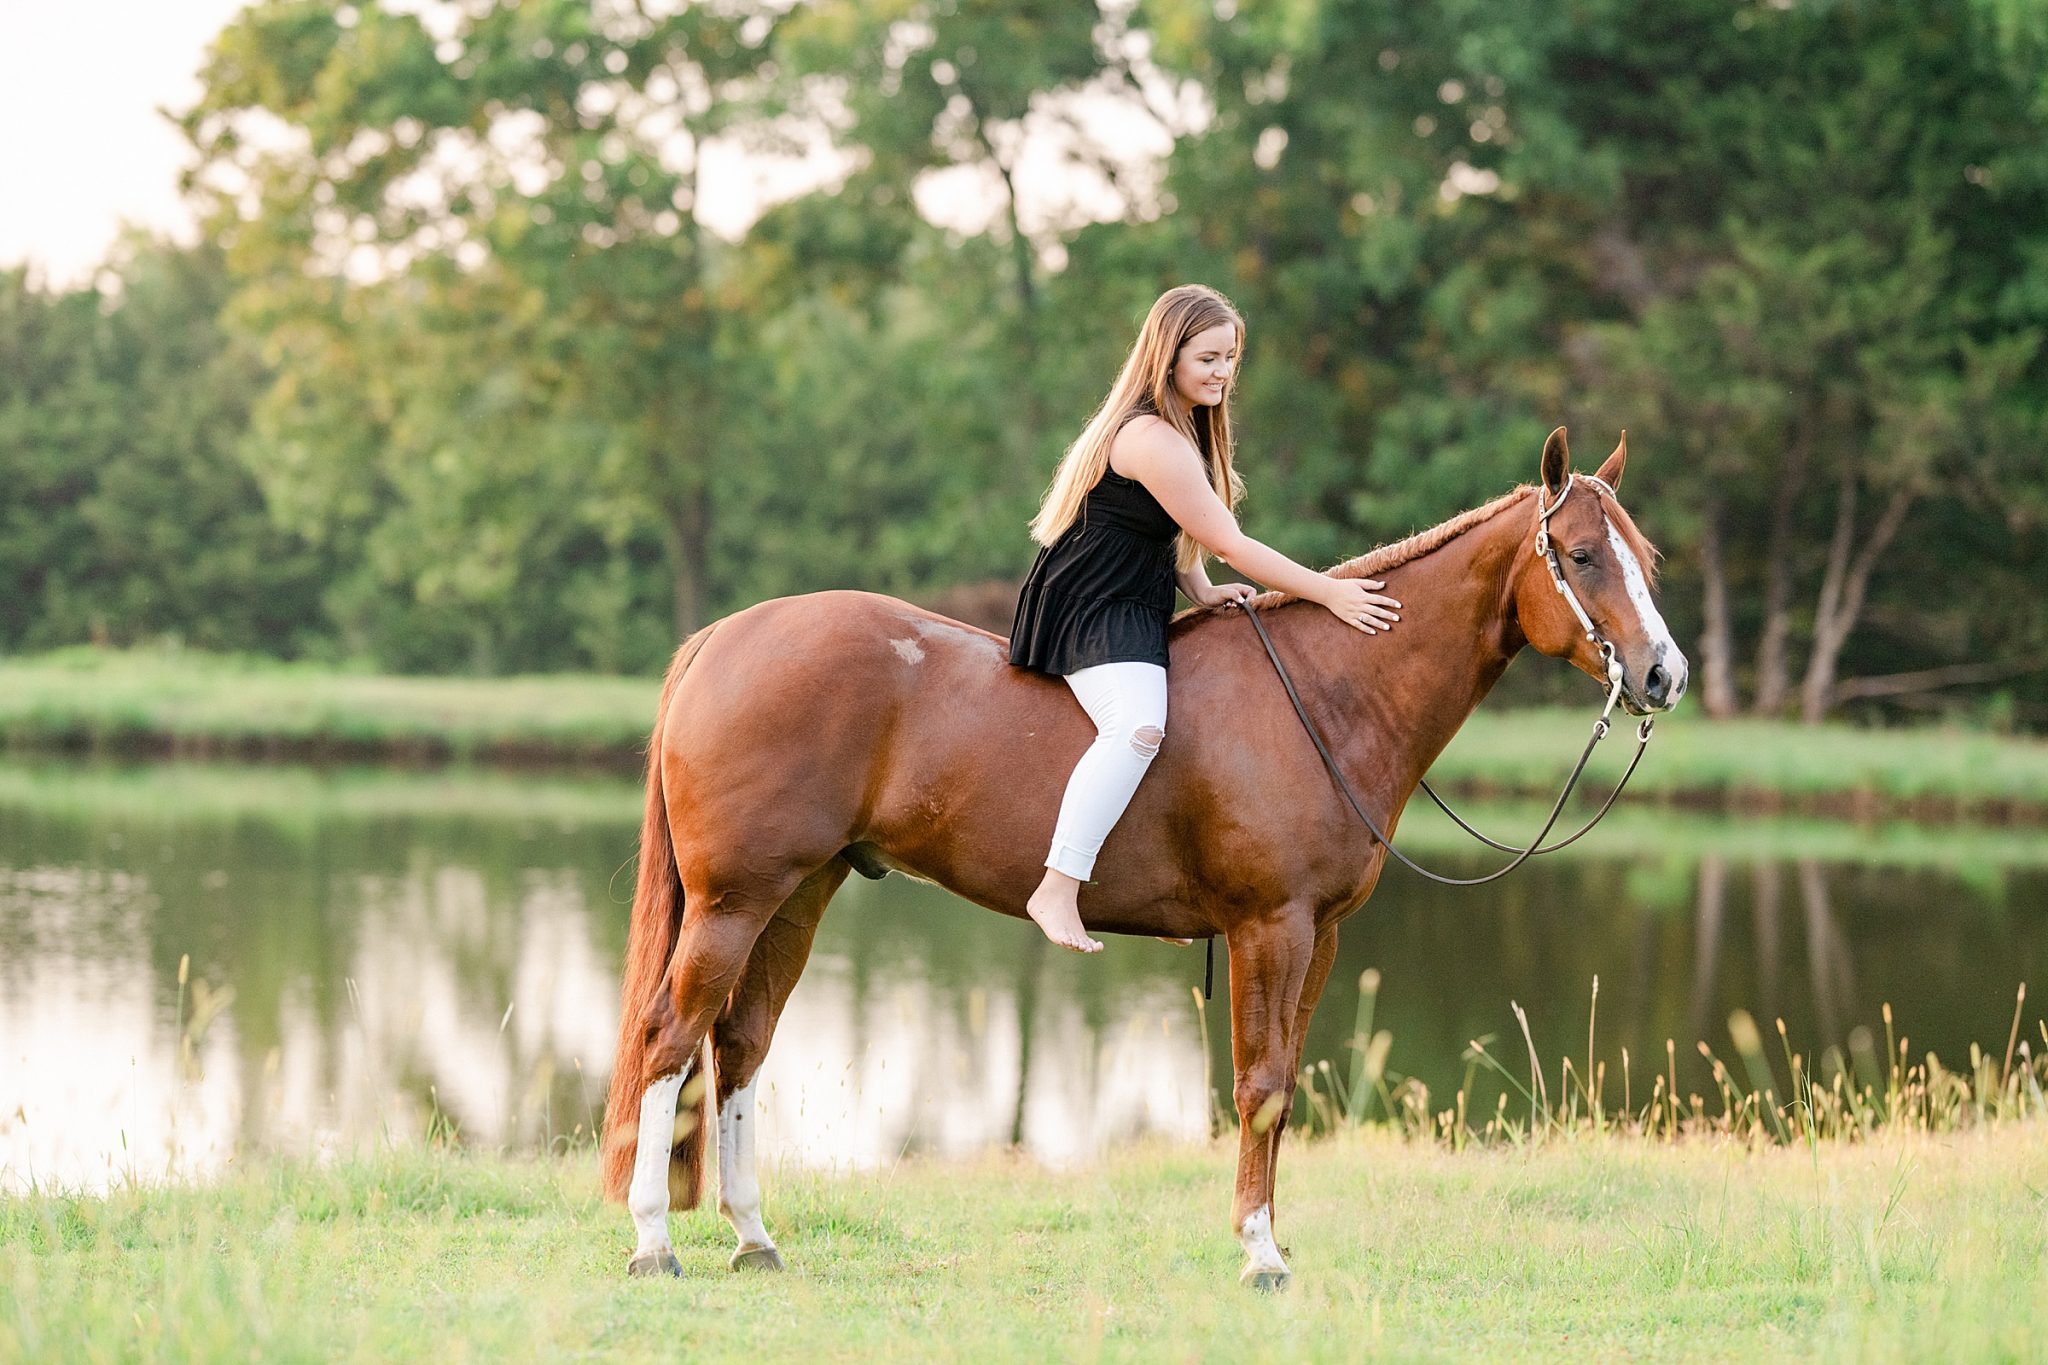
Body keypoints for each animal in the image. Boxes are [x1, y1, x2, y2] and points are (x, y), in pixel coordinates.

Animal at [602, 429, 1679, 1293]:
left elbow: (1284, 1083)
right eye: (1582, 555)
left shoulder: (1320, 936)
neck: (1329, 692)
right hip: (734, 903)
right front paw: (1259, 1254)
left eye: (1648, 558)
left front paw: (1269, 1238)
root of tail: (724, 636)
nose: (1663, 674)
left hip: (795, 897)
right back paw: (654, 1241)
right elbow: (1259, 1086)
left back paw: (752, 1237)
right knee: (668, 1039)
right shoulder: (1269, 928)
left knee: (738, 1046)